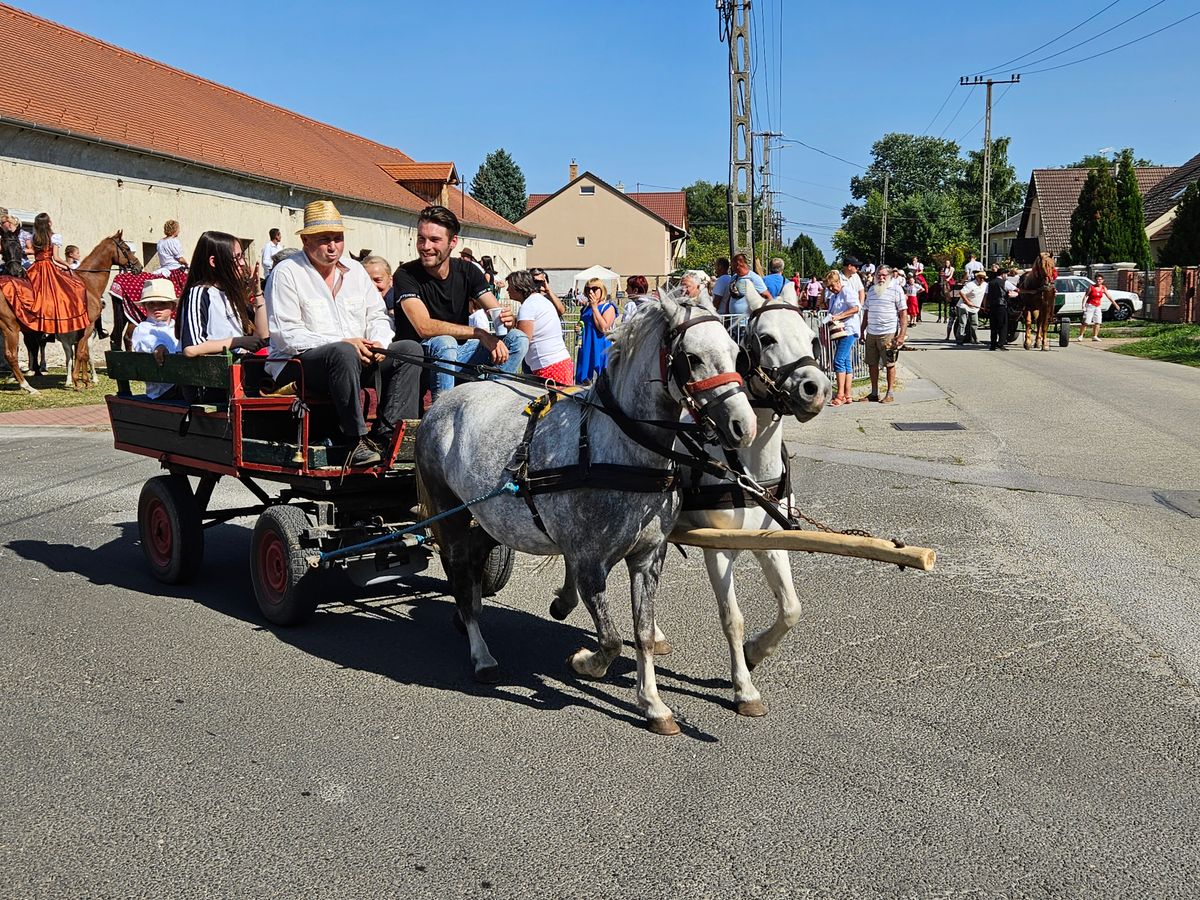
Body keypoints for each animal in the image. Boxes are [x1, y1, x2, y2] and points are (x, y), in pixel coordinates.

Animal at [417, 292, 753, 734]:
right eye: (692, 358)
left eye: (736, 352)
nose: (743, 425)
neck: (618, 451)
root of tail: (441, 404)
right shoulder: (588, 560)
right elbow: (610, 640)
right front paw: (583, 662)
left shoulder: (649, 556)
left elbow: (642, 632)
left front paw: (653, 704)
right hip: (450, 512)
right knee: (458, 569)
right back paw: (480, 652)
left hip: (490, 515)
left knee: (474, 558)